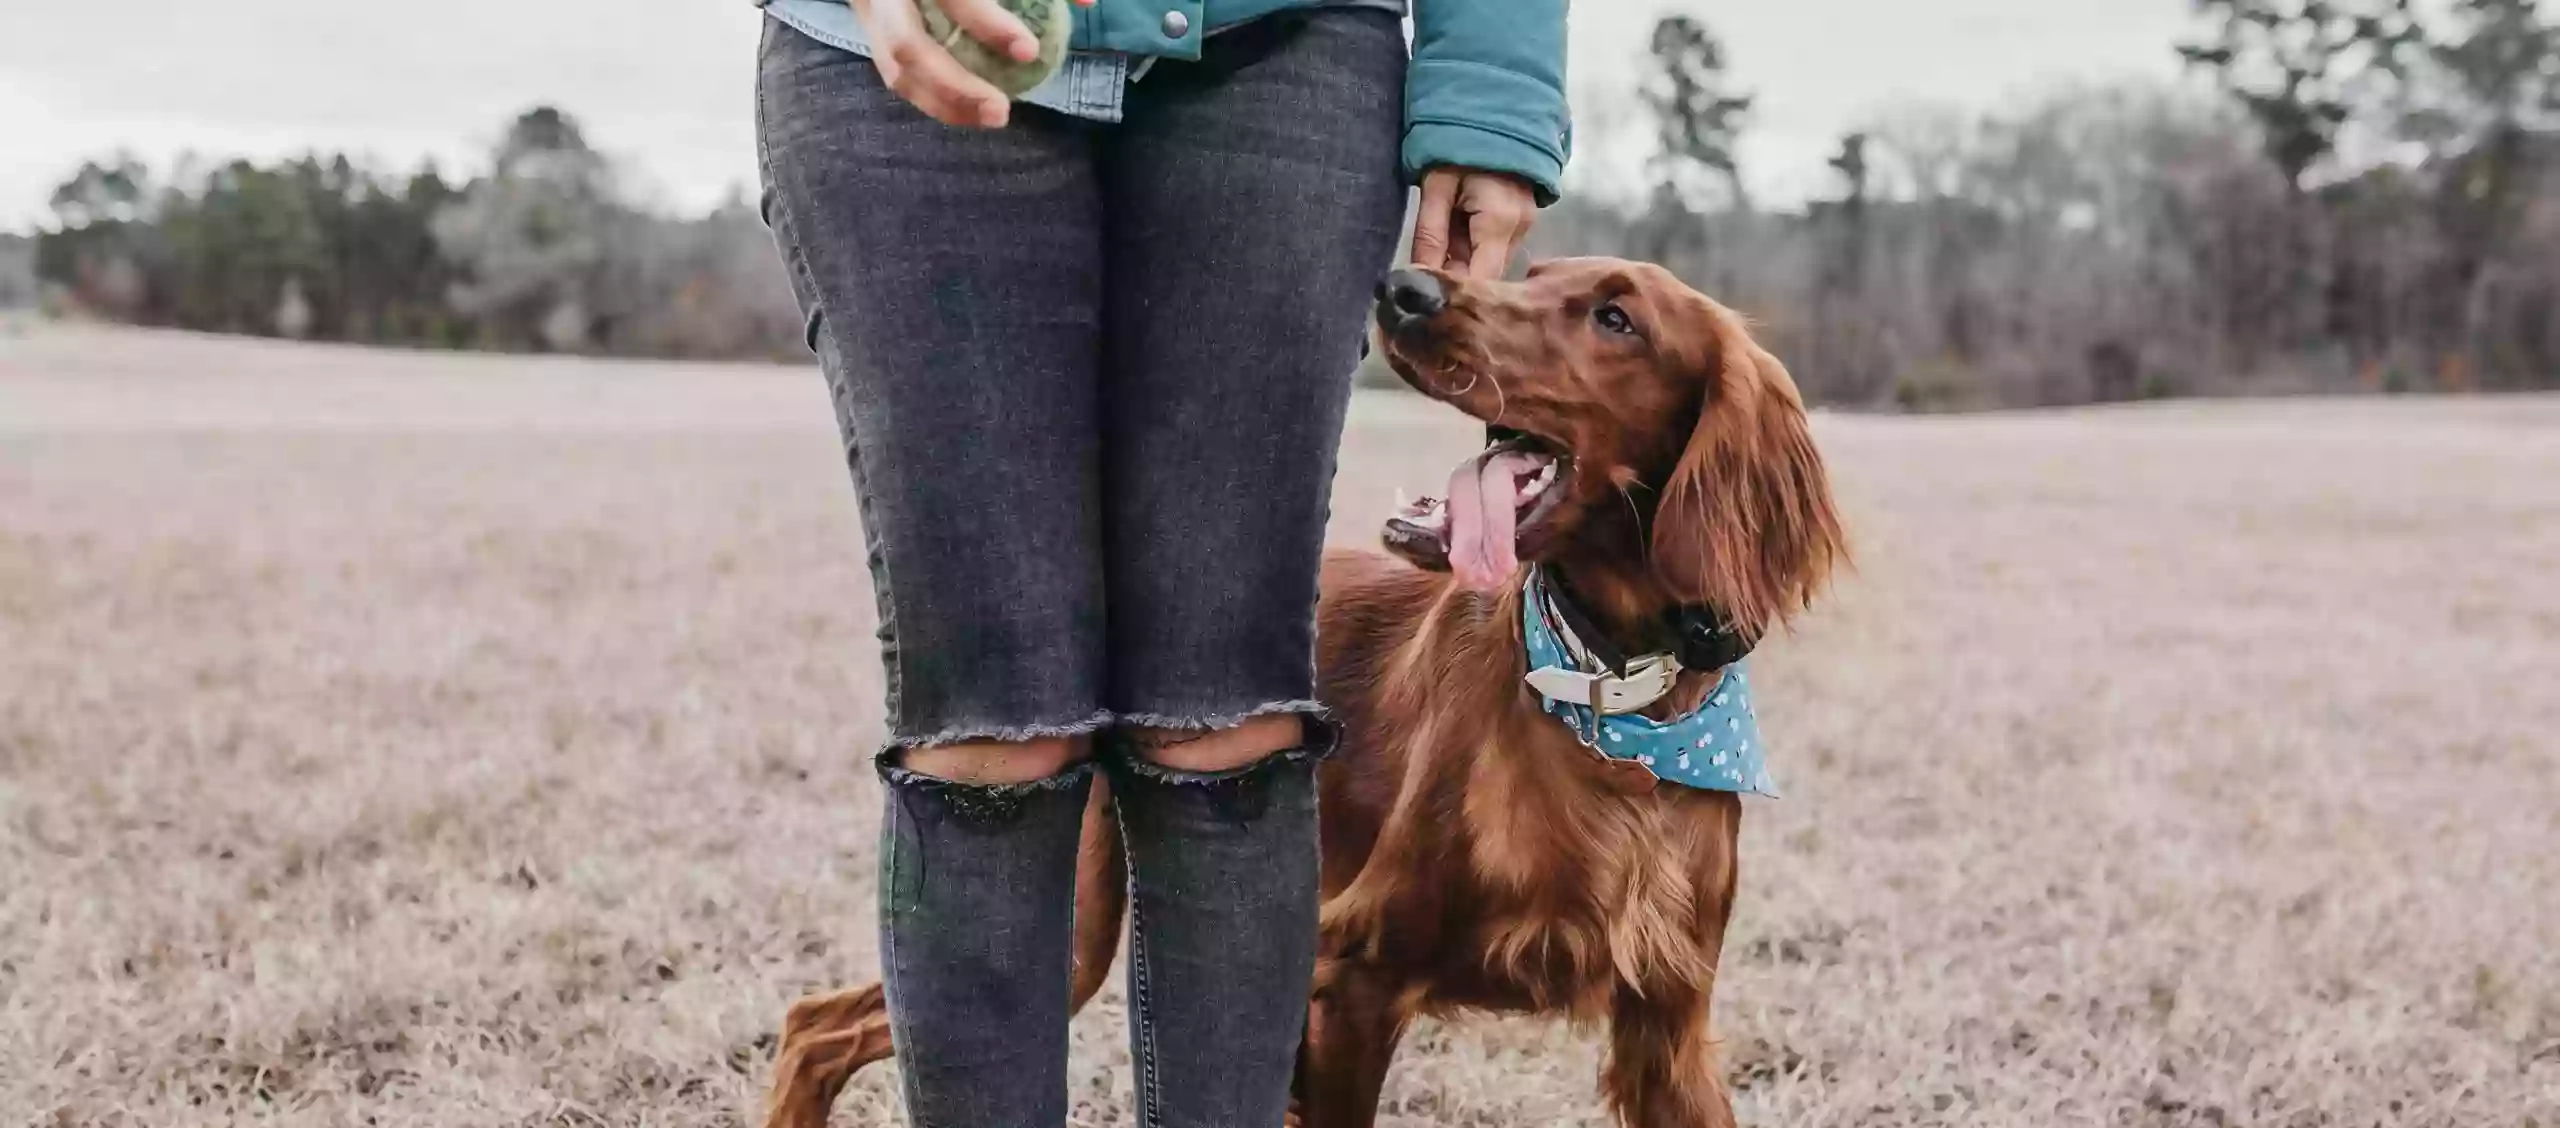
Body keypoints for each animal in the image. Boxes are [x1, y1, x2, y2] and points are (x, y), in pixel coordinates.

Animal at [757, 257, 1843, 1125]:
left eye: (1615, 318)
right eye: (1532, 270)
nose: (1408, 289)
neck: (1609, 697)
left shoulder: (1667, 1026)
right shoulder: (1351, 976)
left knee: (823, 1022)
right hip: (1071, 916)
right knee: (817, 1025)